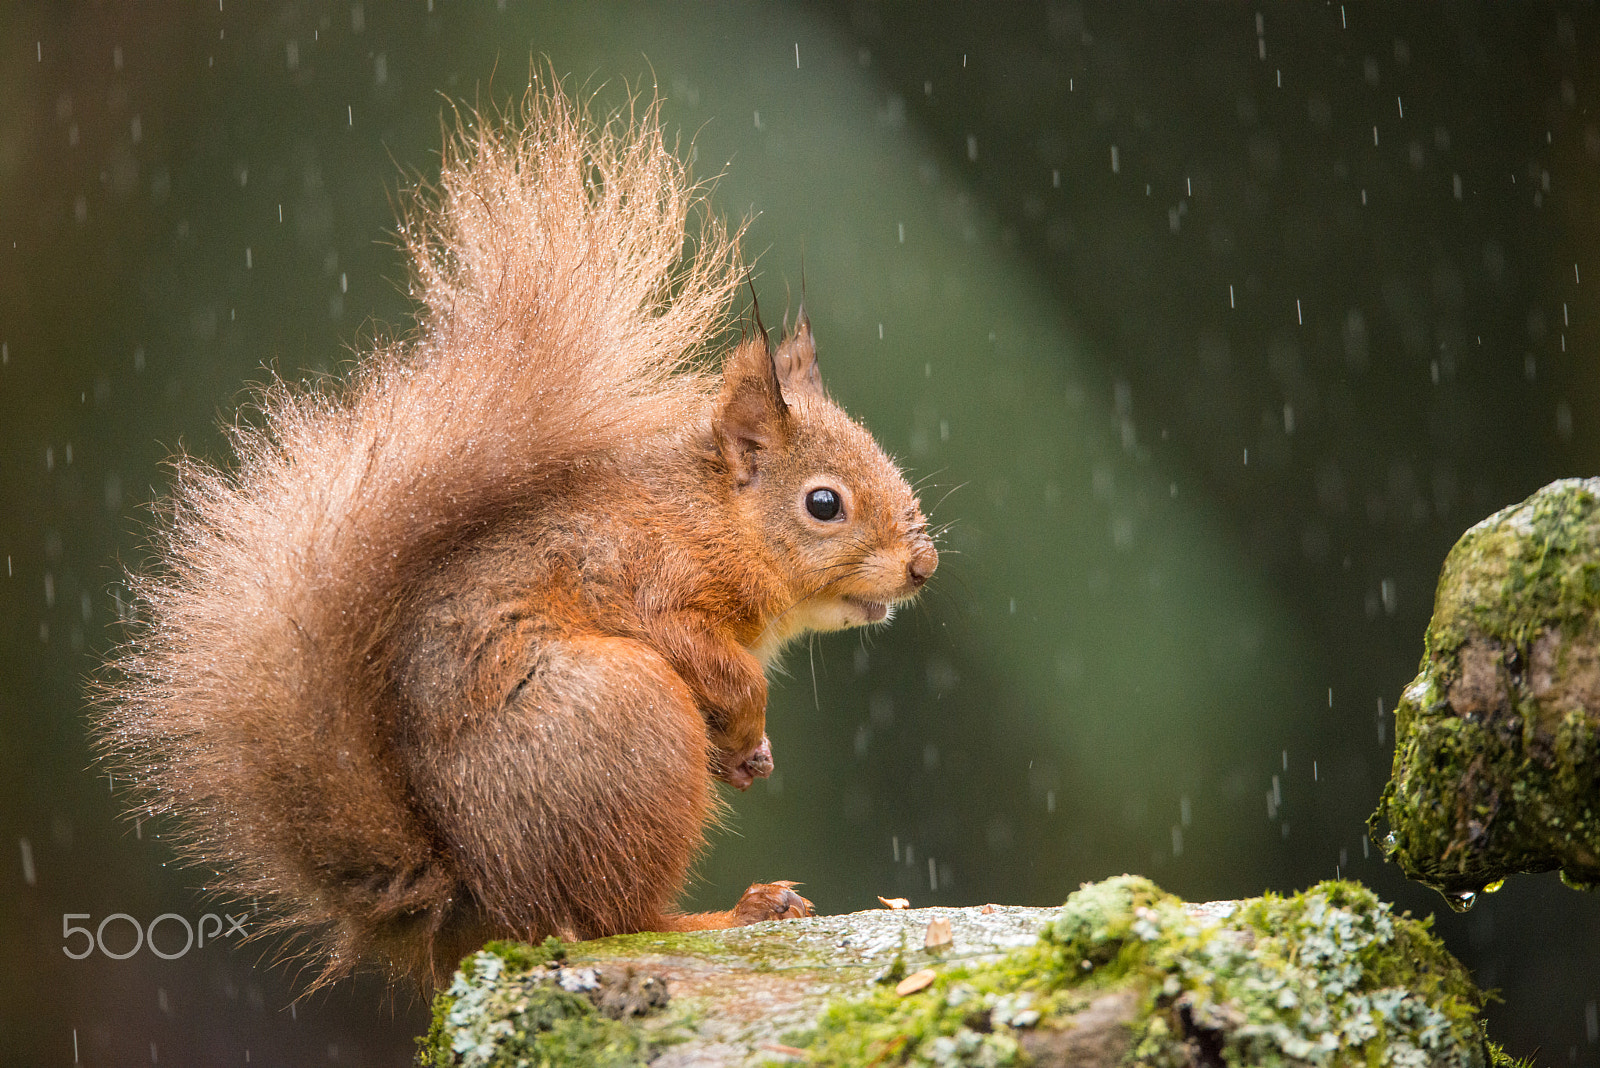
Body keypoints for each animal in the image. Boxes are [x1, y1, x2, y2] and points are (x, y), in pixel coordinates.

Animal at [90, 79, 934, 991]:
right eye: (824, 504)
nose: (922, 566)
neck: (709, 516)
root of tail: (477, 903)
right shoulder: (646, 582)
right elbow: (714, 661)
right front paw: (748, 722)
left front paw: (752, 756)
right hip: (627, 719)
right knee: (611, 922)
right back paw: (733, 912)